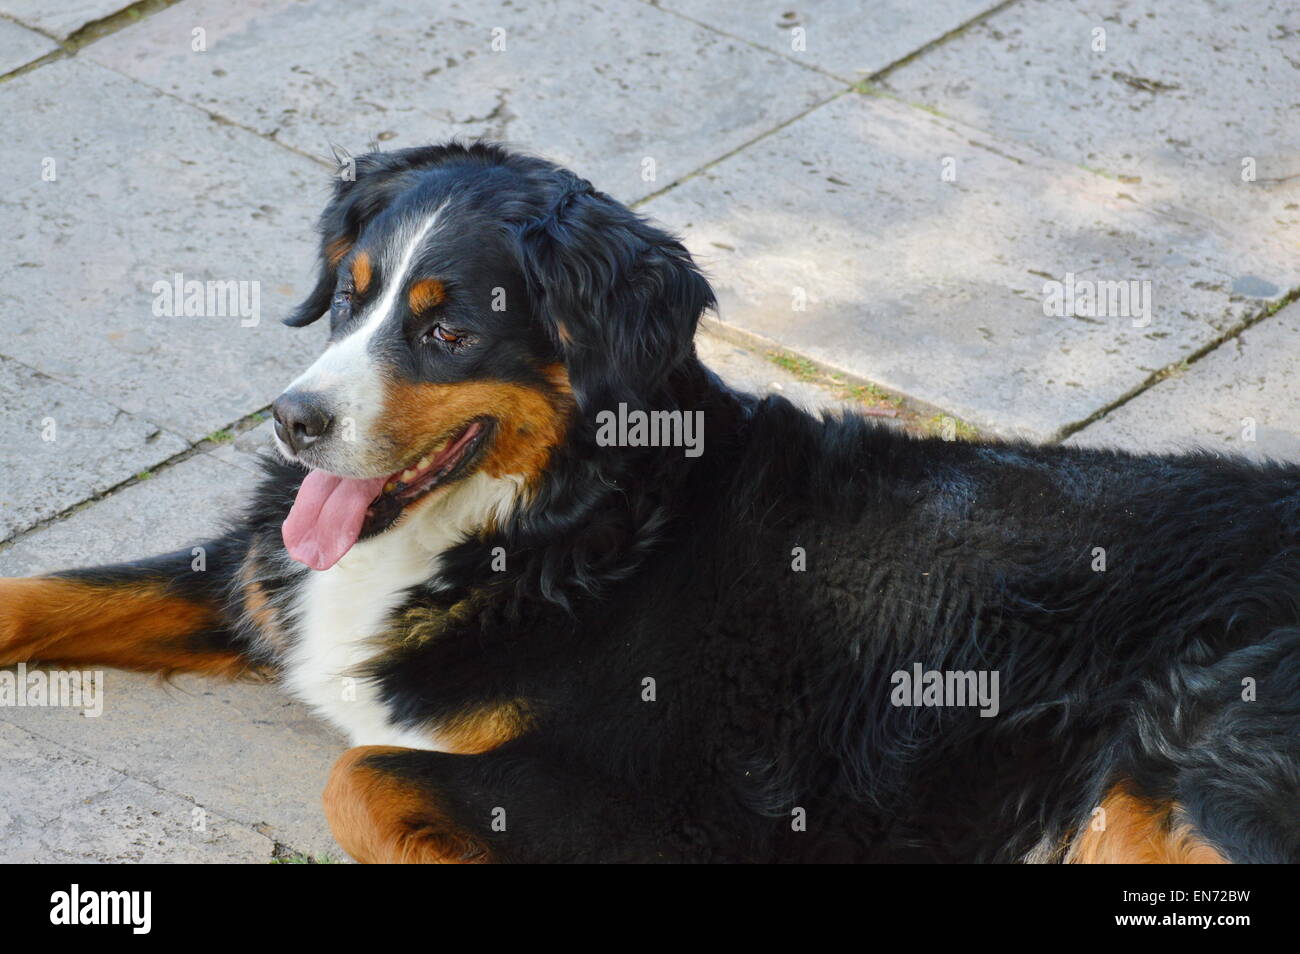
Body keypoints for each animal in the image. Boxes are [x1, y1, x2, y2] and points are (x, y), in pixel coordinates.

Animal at [2, 141, 1300, 868]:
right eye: (348, 296)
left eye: (447, 330)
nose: (293, 420)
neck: (563, 531)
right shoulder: (263, 577)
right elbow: (46, 587)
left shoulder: (669, 805)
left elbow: (359, 778)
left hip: (1171, 780)